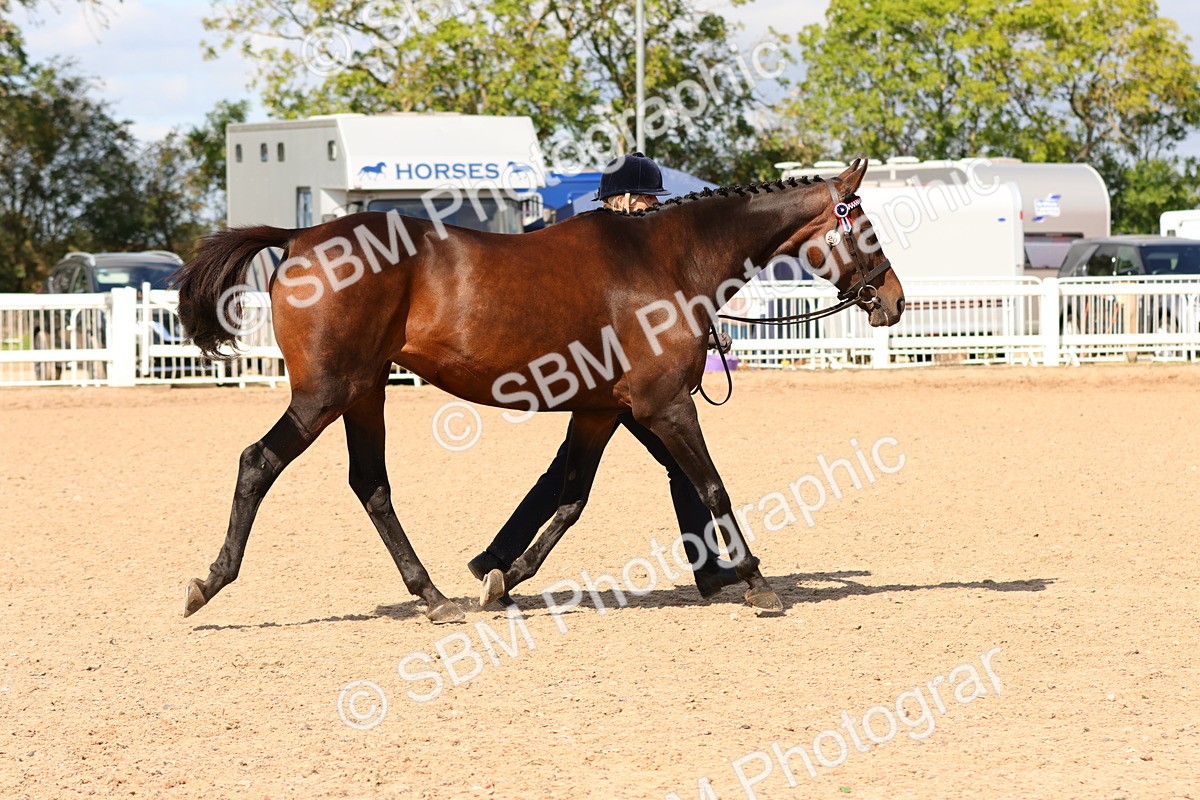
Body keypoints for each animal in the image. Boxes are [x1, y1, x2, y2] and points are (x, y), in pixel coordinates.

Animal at [174, 158, 905, 625]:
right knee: (259, 462)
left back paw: (434, 595)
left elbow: (571, 500)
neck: (667, 259)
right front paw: (755, 581)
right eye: (867, 227)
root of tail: (299, 235)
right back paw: (209, 583)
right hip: (325, 393)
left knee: (370, 485)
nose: (895, 300)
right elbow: (712, 487)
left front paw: (503, 579)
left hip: (364, 394)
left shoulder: (602, 411)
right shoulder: (666, 407)